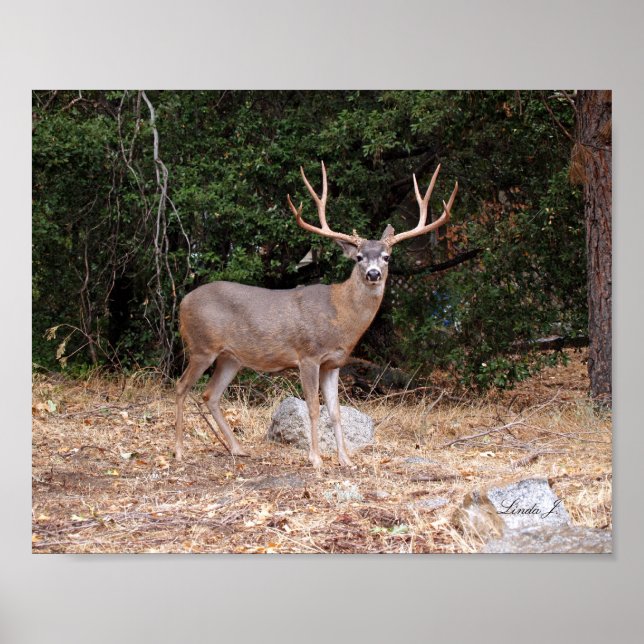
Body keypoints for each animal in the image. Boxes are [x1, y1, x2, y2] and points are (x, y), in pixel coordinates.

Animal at [175, 162, 458, 468]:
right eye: (359, 257)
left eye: (387, 257)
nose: (373, 274)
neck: (340, 316)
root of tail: (182, 302)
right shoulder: (307, 355)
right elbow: (312, 407)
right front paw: (316, 458)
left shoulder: (333, 363)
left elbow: (335, 411)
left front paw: (346, 460)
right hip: (201, 347)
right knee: (181, 386)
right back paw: (179, 451)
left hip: (230, 358)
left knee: (210, 394)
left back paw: (238, 449)